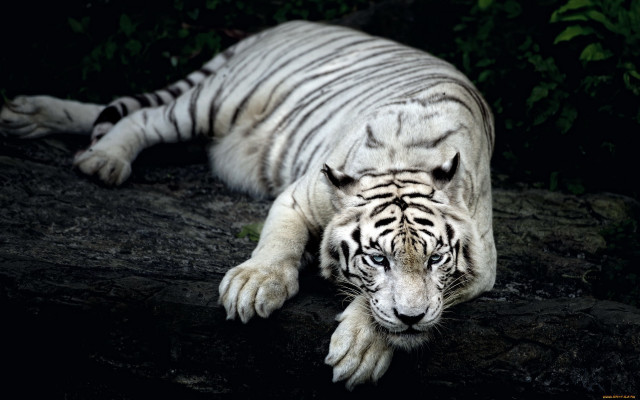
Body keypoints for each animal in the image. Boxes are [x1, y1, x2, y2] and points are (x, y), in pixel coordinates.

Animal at [0, 20, 496, 389]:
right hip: (216, 101)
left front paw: (363, 347)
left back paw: (25, 117)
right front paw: (253, 286)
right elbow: (277, 244)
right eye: (378, 259)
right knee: (140, 117)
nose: (412, 318)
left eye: (435, 259)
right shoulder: (298, 195)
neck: (405, 160)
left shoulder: (483, 264)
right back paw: (101, 158)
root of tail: (288, 24)